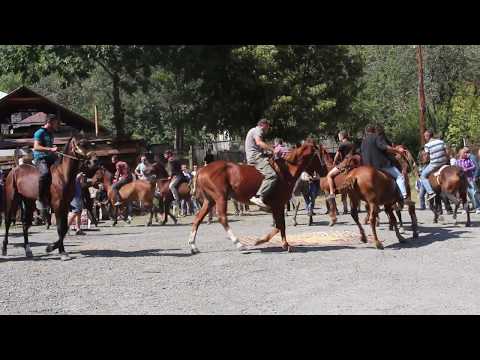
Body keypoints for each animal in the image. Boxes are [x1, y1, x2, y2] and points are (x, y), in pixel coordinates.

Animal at [188, 143, 318, 253]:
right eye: (317, 155)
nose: (314, 178)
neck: (286, 170)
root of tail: (201, 170)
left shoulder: (277, 206)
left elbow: (280, 225)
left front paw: (283, 244)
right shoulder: (278, 205)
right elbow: (280, 225)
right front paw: (264, 241)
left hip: (209, 200)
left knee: (198, 218)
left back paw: (193, 246)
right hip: (220, 197)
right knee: (222, 218)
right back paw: (240, 244)